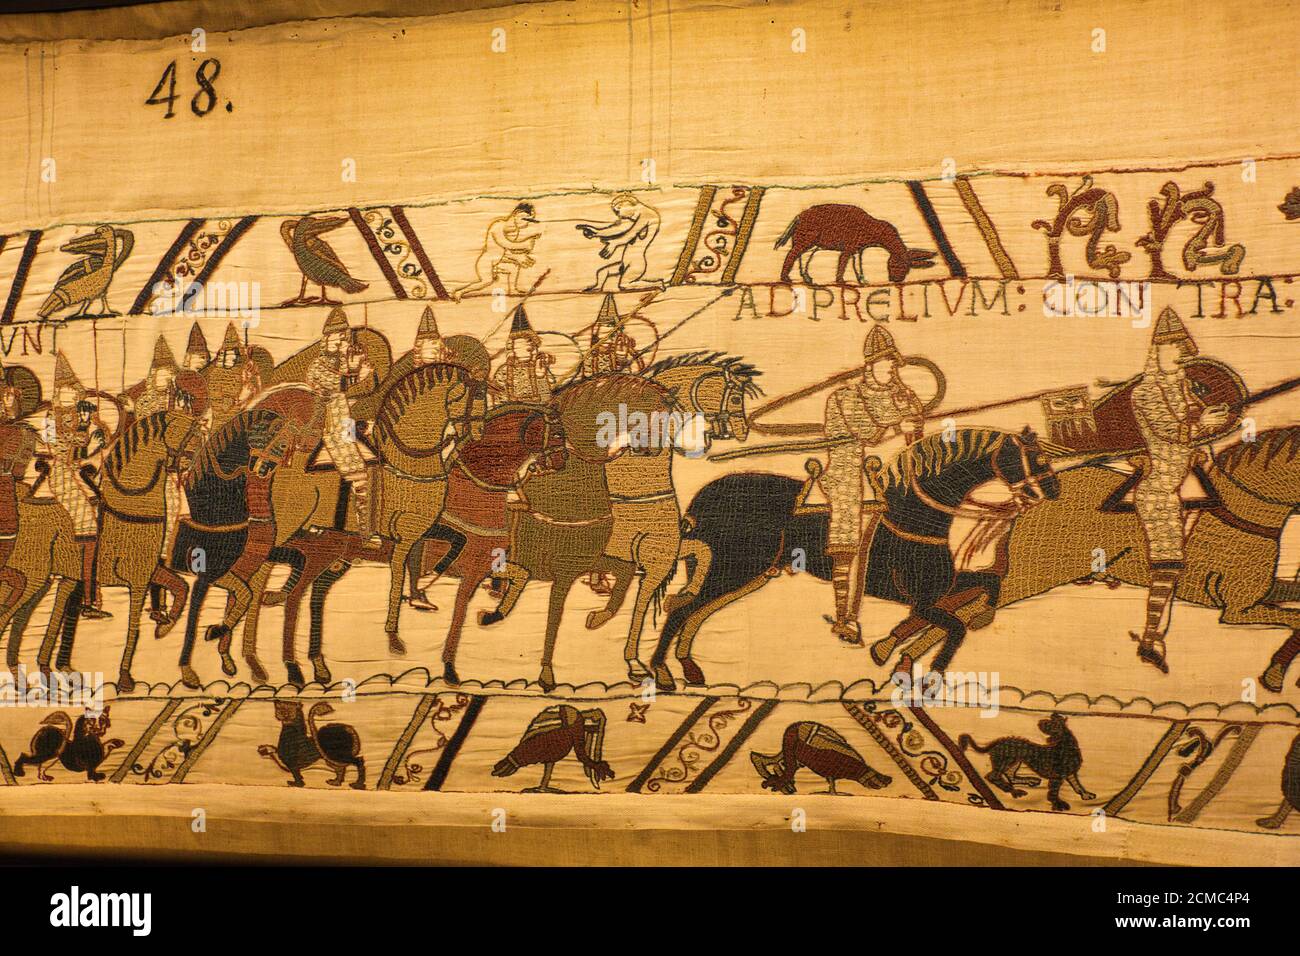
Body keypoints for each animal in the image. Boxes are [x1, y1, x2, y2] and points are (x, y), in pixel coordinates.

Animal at [94, 408, 201, 691]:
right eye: (190, 434)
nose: (193, 463)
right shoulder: (138, 576)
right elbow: (133, 626)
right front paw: (124, 677)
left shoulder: (151, 569)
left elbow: (181, 587)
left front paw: (163, 626)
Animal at [650, 429, 1055, 691]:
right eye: (1034, 458)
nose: (1053, 489)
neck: (915, 514)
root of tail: (706, 493)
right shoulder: (922, 598)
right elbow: (954, 626)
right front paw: (927, 675)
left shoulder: (938, 591)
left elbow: (986, 588)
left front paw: (892, 650)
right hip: (733, 568)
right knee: (682, 608)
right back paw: (663, 672)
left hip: (744, 573)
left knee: (695, 611)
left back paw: (689, 670)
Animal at [977, 426, 1300, 686]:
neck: (1240, 512)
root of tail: (1034, 499)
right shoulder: (1237, 609)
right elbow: (1295, 618)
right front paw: (1275, 674)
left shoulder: (1261, 593)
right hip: (1036, 572)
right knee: (985, 603)